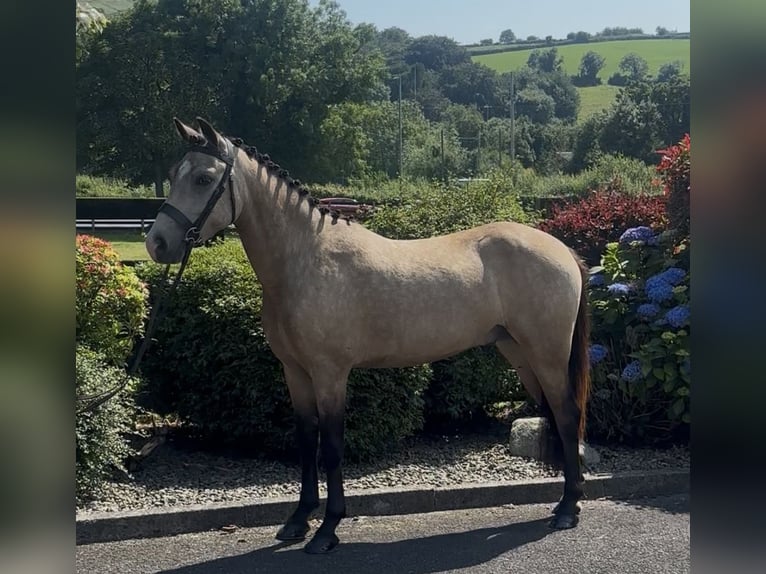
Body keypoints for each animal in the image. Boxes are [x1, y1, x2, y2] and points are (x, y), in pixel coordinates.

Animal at [145, 117, 591, 555]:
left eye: (203, 178)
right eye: (171, 173)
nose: (157, 243)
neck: (305, 258)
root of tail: (561, 249)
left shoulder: (330, 374)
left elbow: (331, 446)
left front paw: (328, 530)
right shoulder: (295, 372)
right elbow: (306, 441)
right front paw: (298, 520)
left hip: (547, 354)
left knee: (567, 415)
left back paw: (568, 509)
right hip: (519, 352)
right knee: (552, 413)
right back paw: (563, 501)